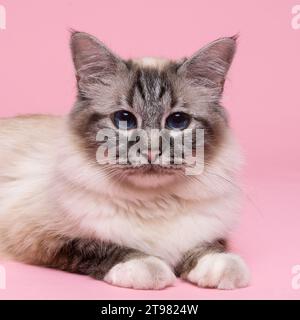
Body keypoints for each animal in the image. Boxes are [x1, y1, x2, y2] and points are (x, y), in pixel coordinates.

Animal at [0, 31, 250, 290]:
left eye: (178, 121)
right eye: (124, 119)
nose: (150, 151)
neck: (154, 204)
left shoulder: (208, 231)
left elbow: (210, 247)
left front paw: (222, 267)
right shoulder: (43, 237)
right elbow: (103, 248)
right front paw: (147, 267)